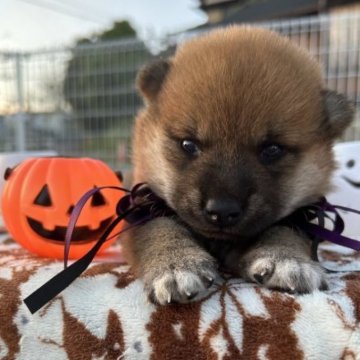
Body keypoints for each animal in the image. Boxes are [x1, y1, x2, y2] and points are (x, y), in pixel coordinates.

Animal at [122, 26, 352, 306]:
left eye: (272, 149)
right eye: (188, 144)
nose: (222, 210)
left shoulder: (301, 215)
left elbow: (285, 230)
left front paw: (287, 259)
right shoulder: (142, 207)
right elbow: (160, 228)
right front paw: (176, 265)